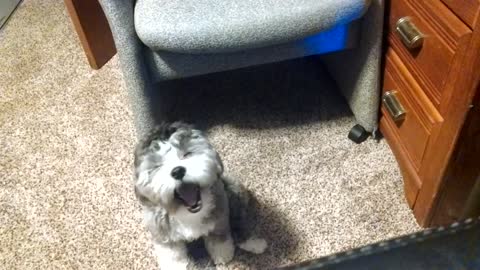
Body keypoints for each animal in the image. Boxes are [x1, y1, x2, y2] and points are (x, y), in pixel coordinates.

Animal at [133, 123, 268, 270]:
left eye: (187, 154)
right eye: (158, 166)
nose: (177, 171)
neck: (189, 213)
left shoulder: (219, 219)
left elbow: (219, 240)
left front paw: (223, 256)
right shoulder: (162, 232)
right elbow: (173, 254)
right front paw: (177, 265)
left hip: (233, 192)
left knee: (238, 222)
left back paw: (254, 243)